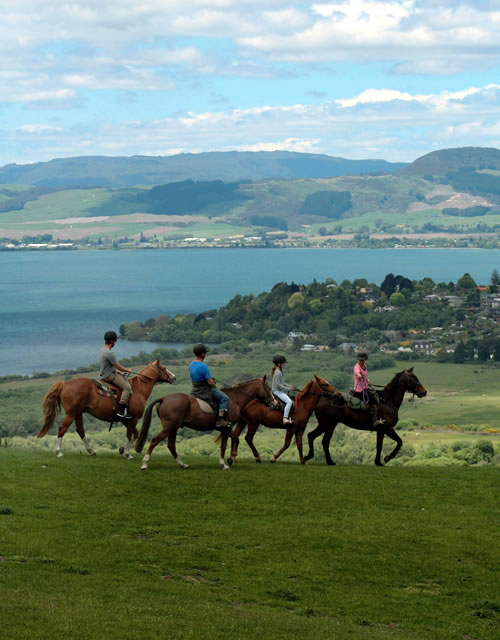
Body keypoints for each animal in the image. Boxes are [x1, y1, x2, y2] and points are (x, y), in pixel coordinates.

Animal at [37, 360, 175, 460]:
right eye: (163, 368)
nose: (173, 377)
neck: (138, 389)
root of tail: (64, 384)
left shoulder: (126, 421)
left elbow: (134, 434)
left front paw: (122, 450)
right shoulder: (133, 419)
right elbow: (129, 435)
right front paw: (127, 453)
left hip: (78, 413)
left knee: (80, 430)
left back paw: (91, 451)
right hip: (71, 413)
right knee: (62, 428)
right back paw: (59, 452)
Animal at [135, 376, 274, 470]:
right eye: (268, 388)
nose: (274, 403)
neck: (235, 399)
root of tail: (163, 398)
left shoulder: (226, 429)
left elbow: (234, 439)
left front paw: (230, 459)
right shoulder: (226, 429)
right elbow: (226, 444)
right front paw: (225, 463)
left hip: (173, 428)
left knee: (171, 446)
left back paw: (182, 464)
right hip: (169, 427)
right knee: (155, 441)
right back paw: (144, 464)